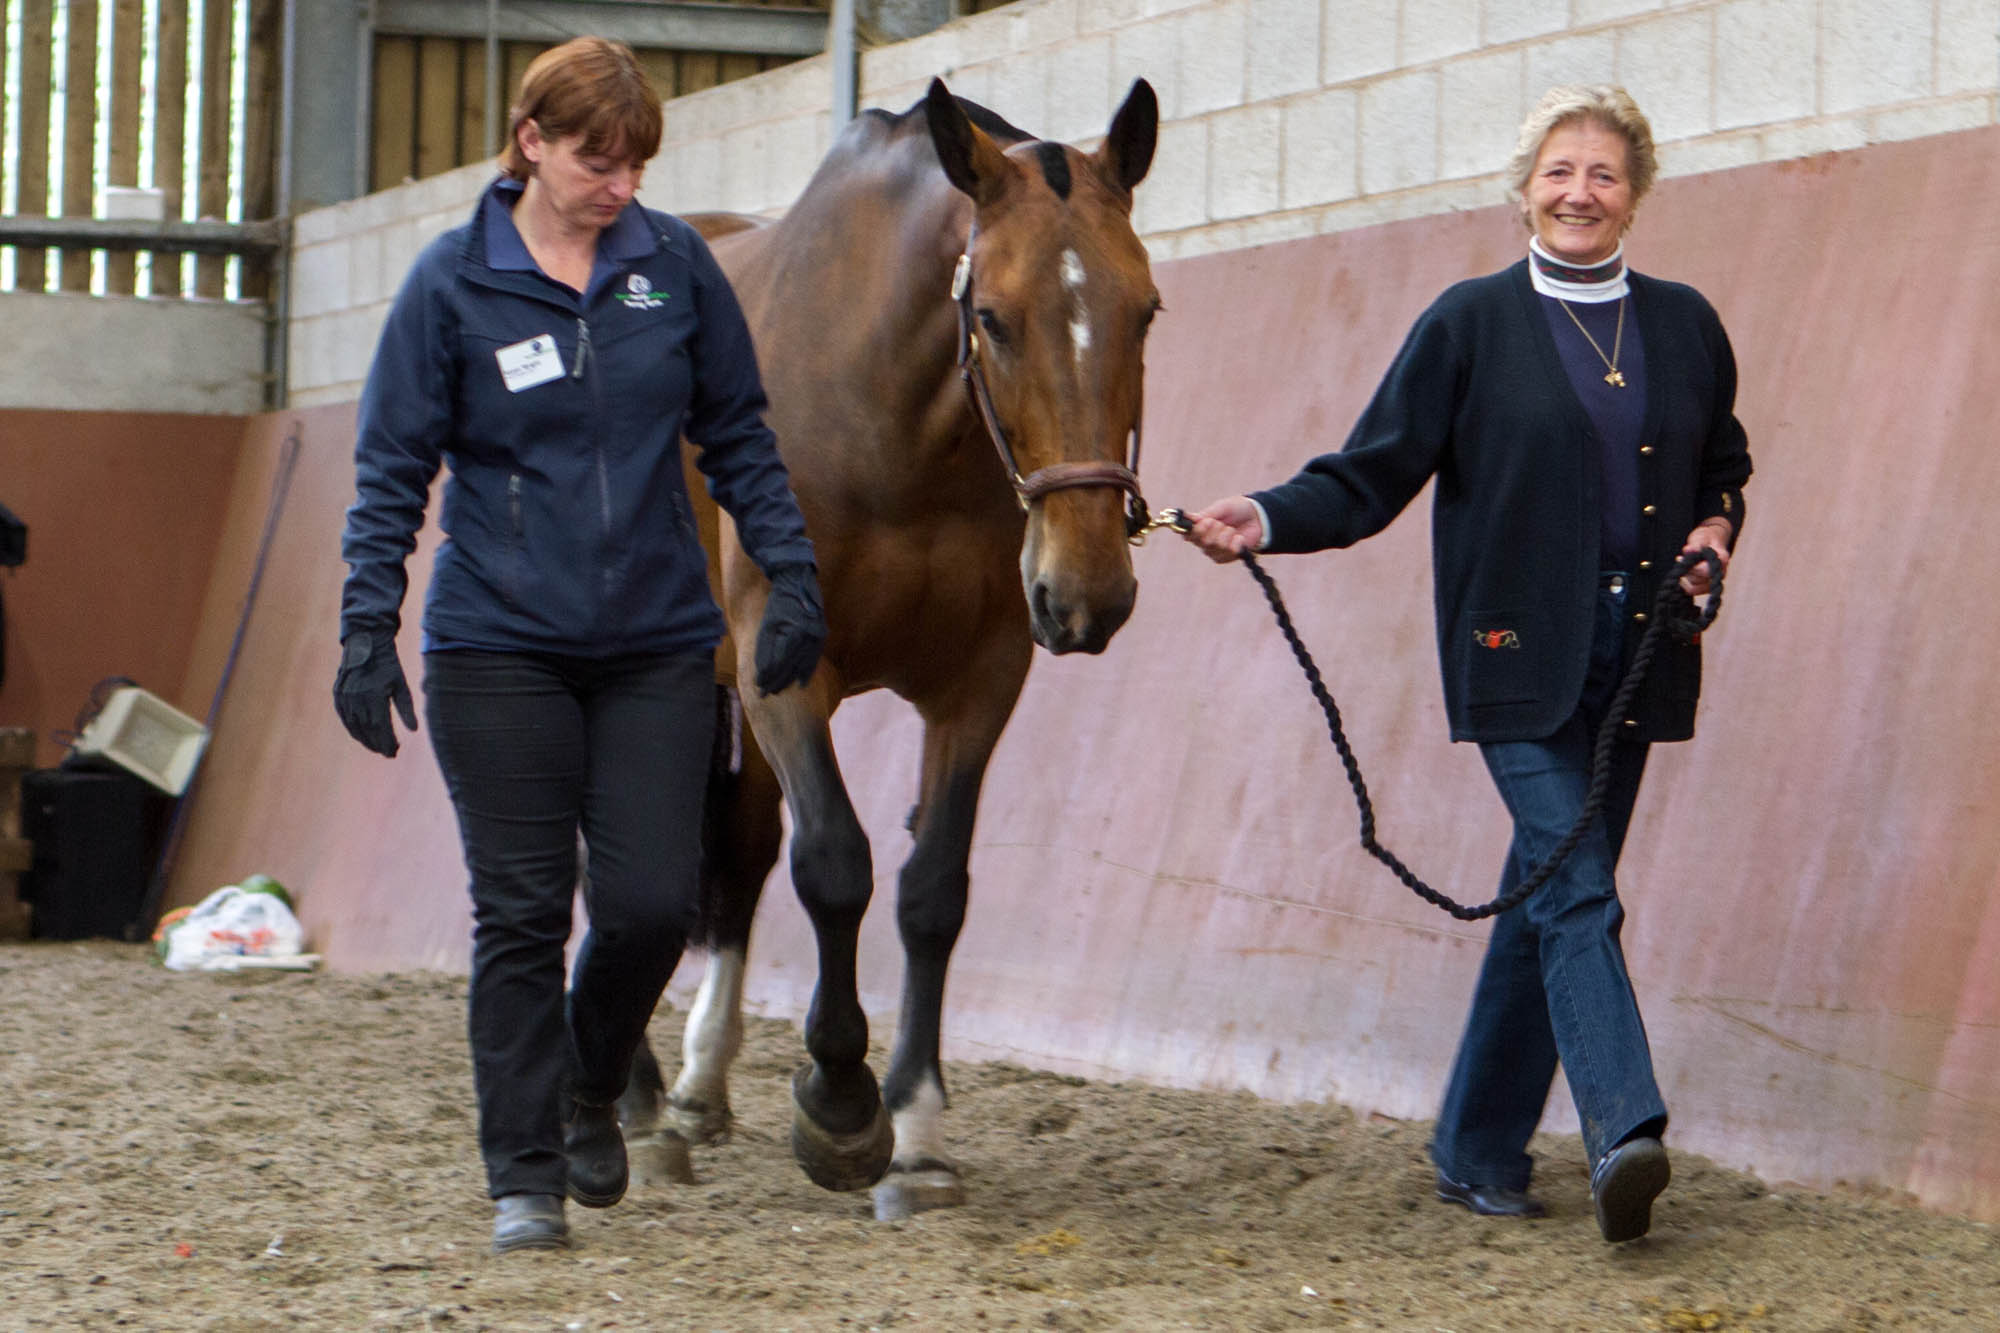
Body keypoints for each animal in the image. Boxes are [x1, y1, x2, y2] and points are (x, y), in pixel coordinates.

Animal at [620, 75, 1160, 1216]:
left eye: (1146, 310)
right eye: (991, 317)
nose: (1088, 592)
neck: (890, 423)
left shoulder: (979, 683)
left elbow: (930, 890)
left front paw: (916, 1128)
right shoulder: (787, 672)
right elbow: (836, 863)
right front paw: (839, 1104)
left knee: (735, 858)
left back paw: (694, 1088)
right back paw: (633, 1096)